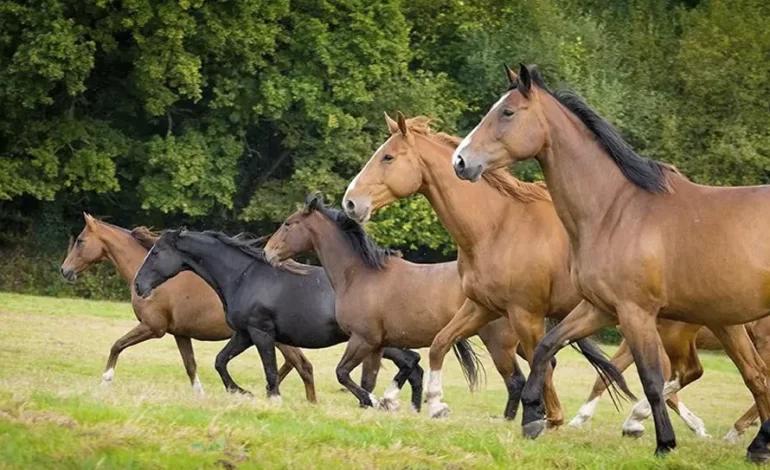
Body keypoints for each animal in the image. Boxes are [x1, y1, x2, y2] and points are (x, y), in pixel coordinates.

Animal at [59, 214, 316, 400]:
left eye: (80, 241)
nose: (64, 270)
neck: (157, 281)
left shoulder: (153, 327)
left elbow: (117, 345)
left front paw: (106, 380)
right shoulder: (180, 334)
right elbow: (190, 365)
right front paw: (200, 395)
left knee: (303, 366)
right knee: (294, 365)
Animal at [132, 228, 425, 408]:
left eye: (156, 252)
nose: (138, 285)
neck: (244, 276)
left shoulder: (261, 332)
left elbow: (271, 370)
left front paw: (273, 399)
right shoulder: (244, 334)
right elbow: (220, 361)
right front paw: (240, 391)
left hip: (375, 342)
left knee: (411, 363)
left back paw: (385, 401)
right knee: (415, 366)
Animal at [342, 113, 635, 428]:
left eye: (388, 157)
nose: (350, 202)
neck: (499, 226)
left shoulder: (525, 314)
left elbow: (541, 361)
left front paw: (547, 418)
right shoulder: (481, 307)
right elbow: (439, 343)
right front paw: (437, 405)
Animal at [452, 63, 770, 461]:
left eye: (507, 112)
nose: (460, 161)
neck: (615, 210)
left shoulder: (636, 313)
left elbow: (650, 380)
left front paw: (664, 443)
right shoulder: (599, 308)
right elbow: (546, 347)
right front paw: (534, 418)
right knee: (756, 377)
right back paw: (758, 446)